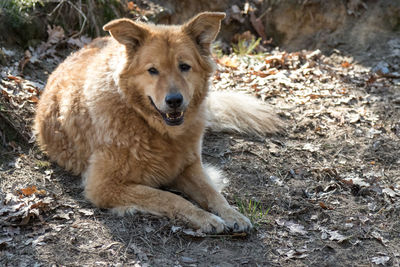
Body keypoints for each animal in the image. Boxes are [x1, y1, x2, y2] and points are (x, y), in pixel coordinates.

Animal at [35, 12, 282, 233]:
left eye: (184, 66)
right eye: (152, 70)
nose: (174, 101)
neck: (147, 123)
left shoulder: (189, 166)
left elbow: (213, 193)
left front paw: (232, 214)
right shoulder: (103, 186)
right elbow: (170, 197)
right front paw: (206, 219)